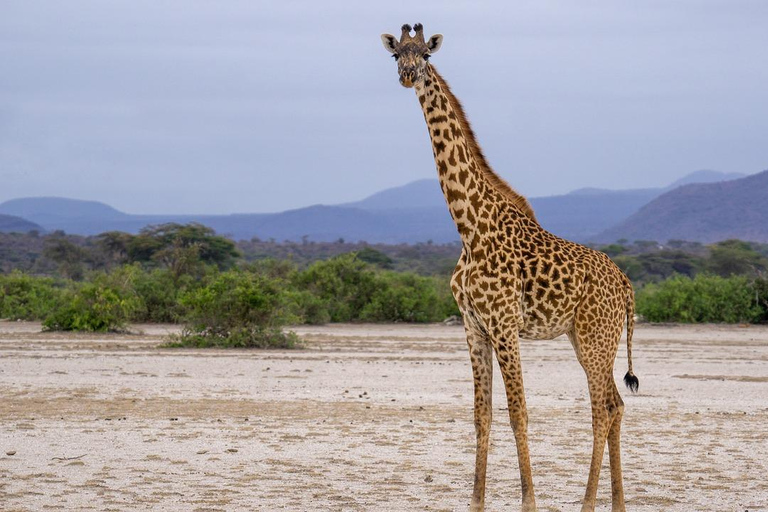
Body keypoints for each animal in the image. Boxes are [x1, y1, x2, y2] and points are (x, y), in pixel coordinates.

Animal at [380, 25, 640, 512]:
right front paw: (475, 503)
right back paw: (616, 504)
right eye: (395, 55)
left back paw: (588, 503)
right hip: (590, 338)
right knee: (616, 403)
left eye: (425, 54)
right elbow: (481, 415)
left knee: (602, 408)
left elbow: (518, 412)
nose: (407, 75)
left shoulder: (503, 322)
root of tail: (626, 283)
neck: (468, 227)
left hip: (595, 336)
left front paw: (529, 502)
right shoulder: (473, 325)